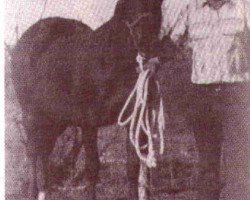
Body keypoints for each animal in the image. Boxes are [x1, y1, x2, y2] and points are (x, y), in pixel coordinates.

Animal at [10, 0, 176, 198]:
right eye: (127, 7)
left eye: (156, 6)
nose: (147, 44)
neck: (109, 61)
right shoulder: (88, 122)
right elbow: (92, 169)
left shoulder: (135, 119)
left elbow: (133, 168)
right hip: (32, 117)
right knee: (34, 155)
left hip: (55, 120)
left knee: (43, 153)